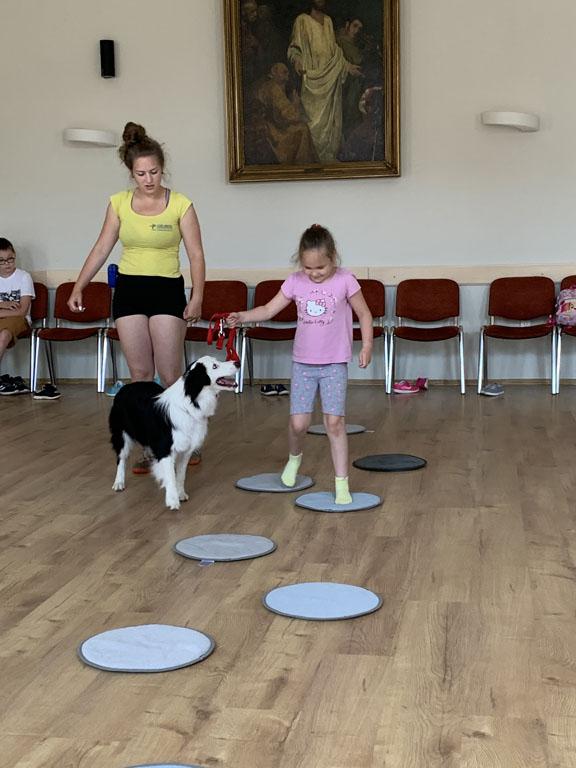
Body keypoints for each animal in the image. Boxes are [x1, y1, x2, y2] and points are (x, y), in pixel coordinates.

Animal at [109, 356, 239, 510]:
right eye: (214, 366)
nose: (238, 363)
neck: (191, 402)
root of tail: (124, 387)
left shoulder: (186, 448)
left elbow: (181, 474)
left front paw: (181, 494)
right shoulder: (165, 448)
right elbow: (170, 475)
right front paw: (172, 500)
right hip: (121, 433)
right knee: (121, 458)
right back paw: (119, 482)